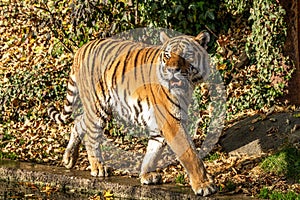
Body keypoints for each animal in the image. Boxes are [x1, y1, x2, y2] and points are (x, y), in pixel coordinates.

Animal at [48, 30, 218, 196]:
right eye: (167, 55)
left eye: (187, 55)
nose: (171, 71)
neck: (187, 86)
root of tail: (82, 48)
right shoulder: (171, 121)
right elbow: (191, 155)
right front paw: (204, 185)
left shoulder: (160, 123)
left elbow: (153, 150)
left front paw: (146, 175)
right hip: (98, 105)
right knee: (91, 135)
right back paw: (98, 167)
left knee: (79, 121)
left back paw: (69, 158)